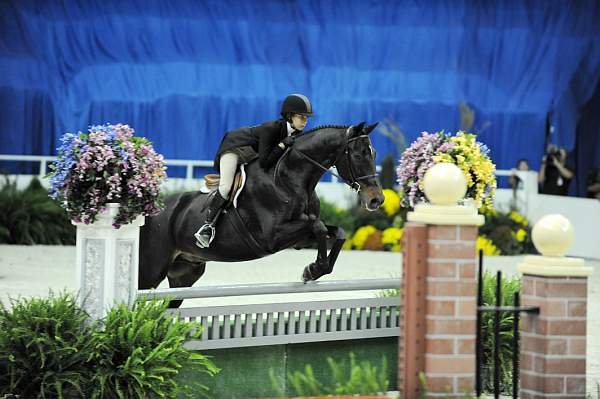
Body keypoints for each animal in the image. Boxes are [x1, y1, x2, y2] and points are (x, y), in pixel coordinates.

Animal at [138, 122, 384, 306]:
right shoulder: (272, 237)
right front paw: (313, 270)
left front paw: (315, 270)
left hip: (185, 273)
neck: (291, 178)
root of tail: (149, 210)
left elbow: (335, 231)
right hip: (150, 270)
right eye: (359, 155)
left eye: (373, 154)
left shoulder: (300, 239)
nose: (377, 200)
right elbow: (319, 226)